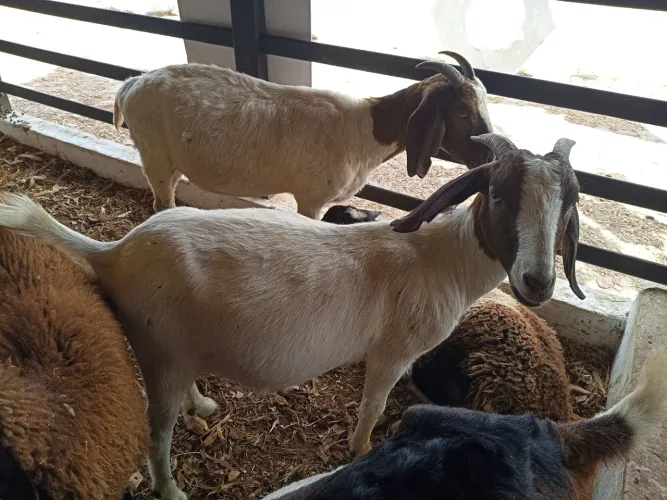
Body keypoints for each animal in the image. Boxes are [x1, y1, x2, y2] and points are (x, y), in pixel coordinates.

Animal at [113, 52, 493, 216]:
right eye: (461, 111)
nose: (489, 154)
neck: (365, 130)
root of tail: (131, 84)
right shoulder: (313, 198)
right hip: (154, 156)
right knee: (161, 201)